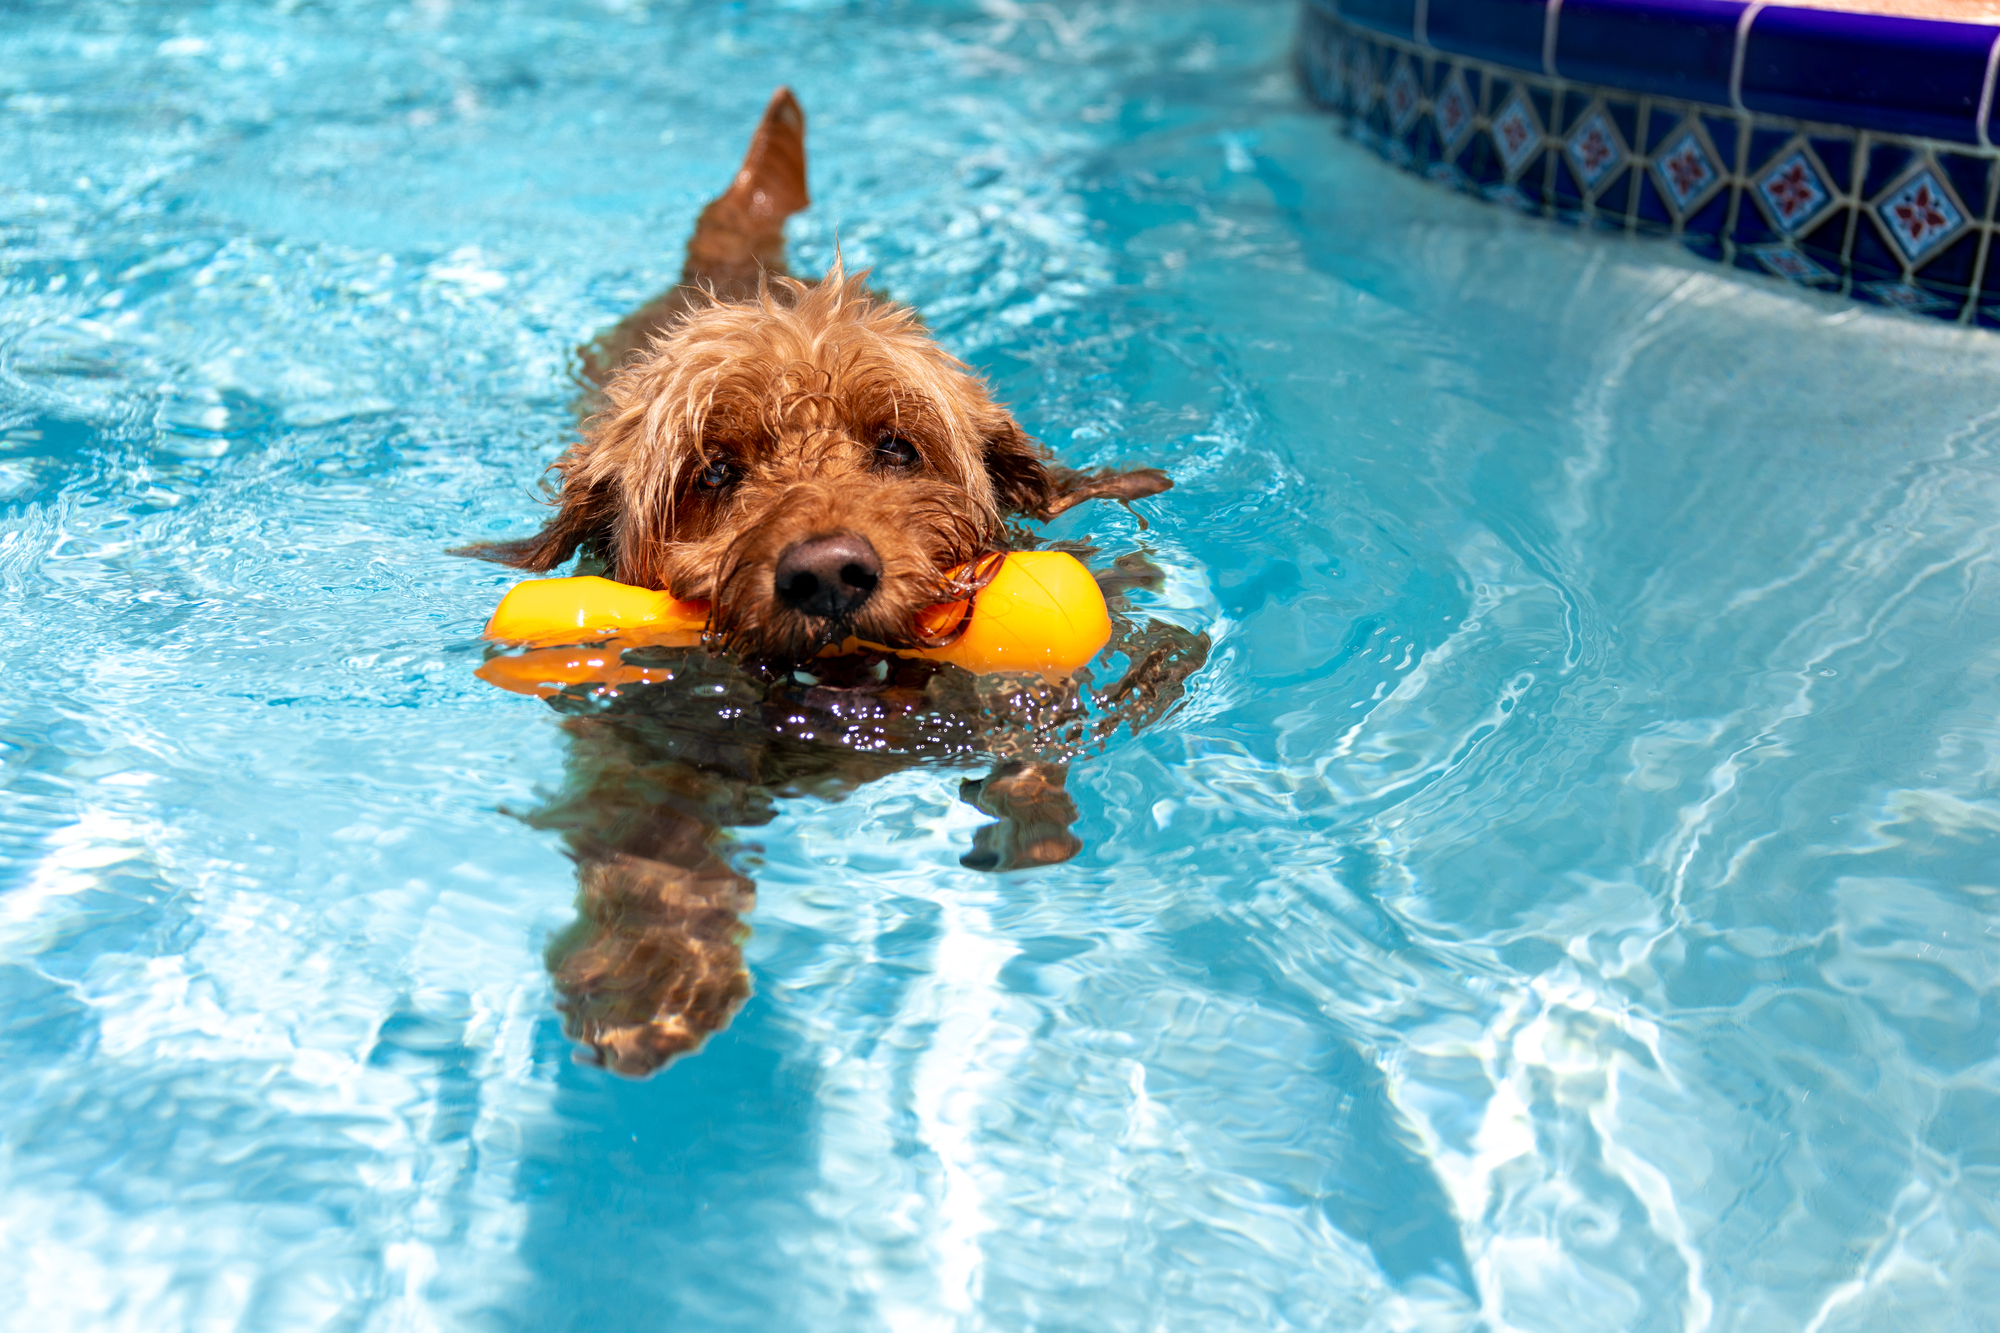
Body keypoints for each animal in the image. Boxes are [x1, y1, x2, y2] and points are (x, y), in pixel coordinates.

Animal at [472, 91, 1200, 1072]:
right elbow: (652, 840)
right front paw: (648, 977)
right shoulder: (635, 741)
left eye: (895, 446)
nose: (826, 574)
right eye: (714, 471)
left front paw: (1027, 807)